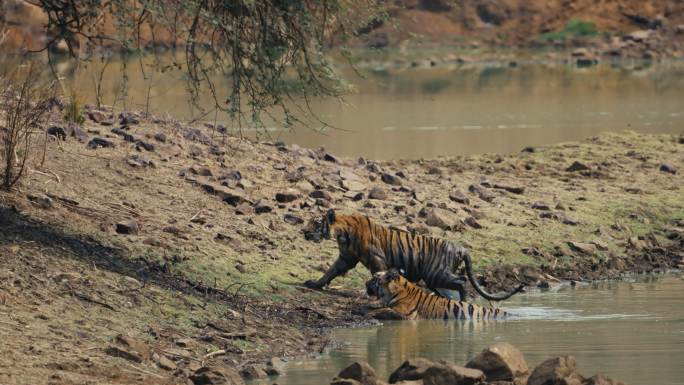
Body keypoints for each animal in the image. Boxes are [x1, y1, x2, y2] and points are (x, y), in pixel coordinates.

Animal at [304, 208, 524, 302]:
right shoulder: (346, 258)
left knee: (462, 281)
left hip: (436, 274)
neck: (341, 233)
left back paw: (464, 302)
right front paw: (314, 284)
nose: (304, 231)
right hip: (436, 280)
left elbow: (378, 276)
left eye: (315, 223)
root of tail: (460, 247)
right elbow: (330, 271)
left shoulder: (376, 260)